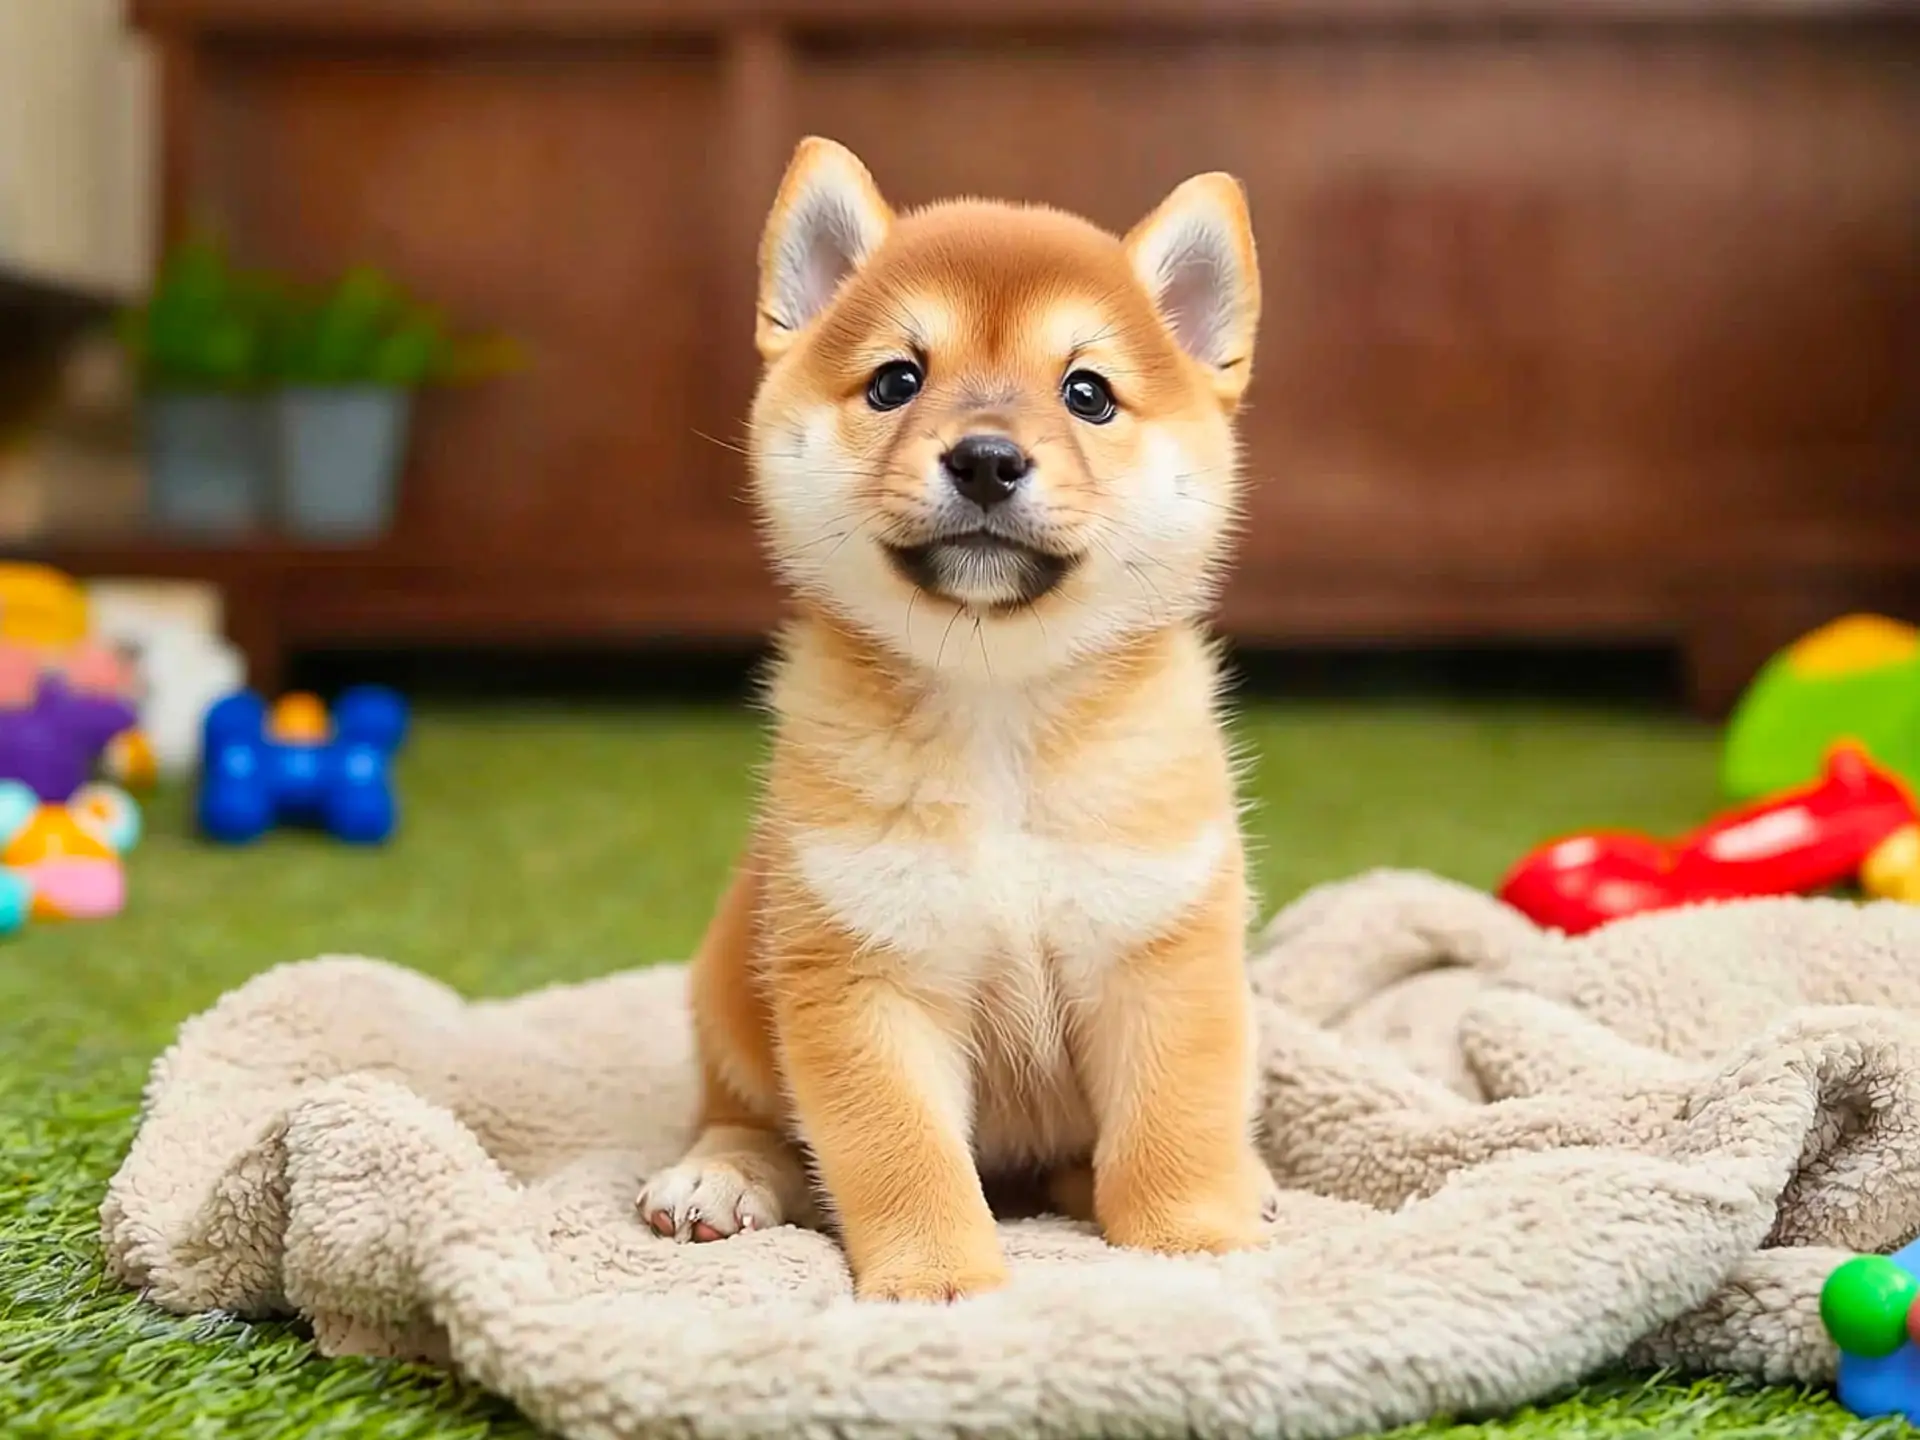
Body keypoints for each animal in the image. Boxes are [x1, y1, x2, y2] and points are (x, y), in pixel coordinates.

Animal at [641, 141, 1274, 1305]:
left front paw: (1189, 1245)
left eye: (1087, 393)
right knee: (743, 1115)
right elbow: (899, 1152)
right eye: (898, 380)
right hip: (733, 988)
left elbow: (1173, 1125)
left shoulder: (1159, 950)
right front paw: (939, 1281)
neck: (998, 710)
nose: (985, 457)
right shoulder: (864, 972)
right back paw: (720, 1175)